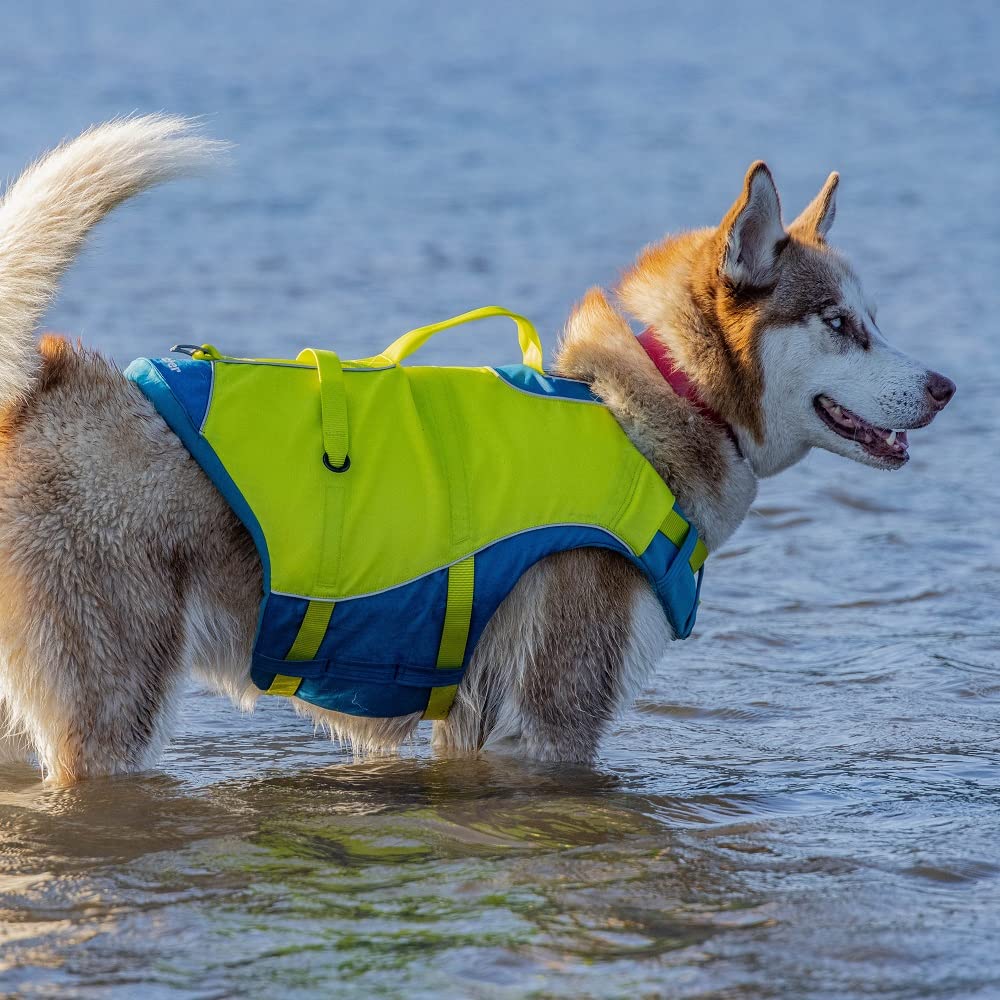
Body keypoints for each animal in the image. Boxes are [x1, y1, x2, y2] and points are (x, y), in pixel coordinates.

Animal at [0, 119, 952, 780]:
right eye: (840, 325)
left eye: (874, 320)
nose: (945, 385)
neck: (656, 407)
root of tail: (43, 384)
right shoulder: (551, 720)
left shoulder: (472, 723)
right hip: (112, 715)